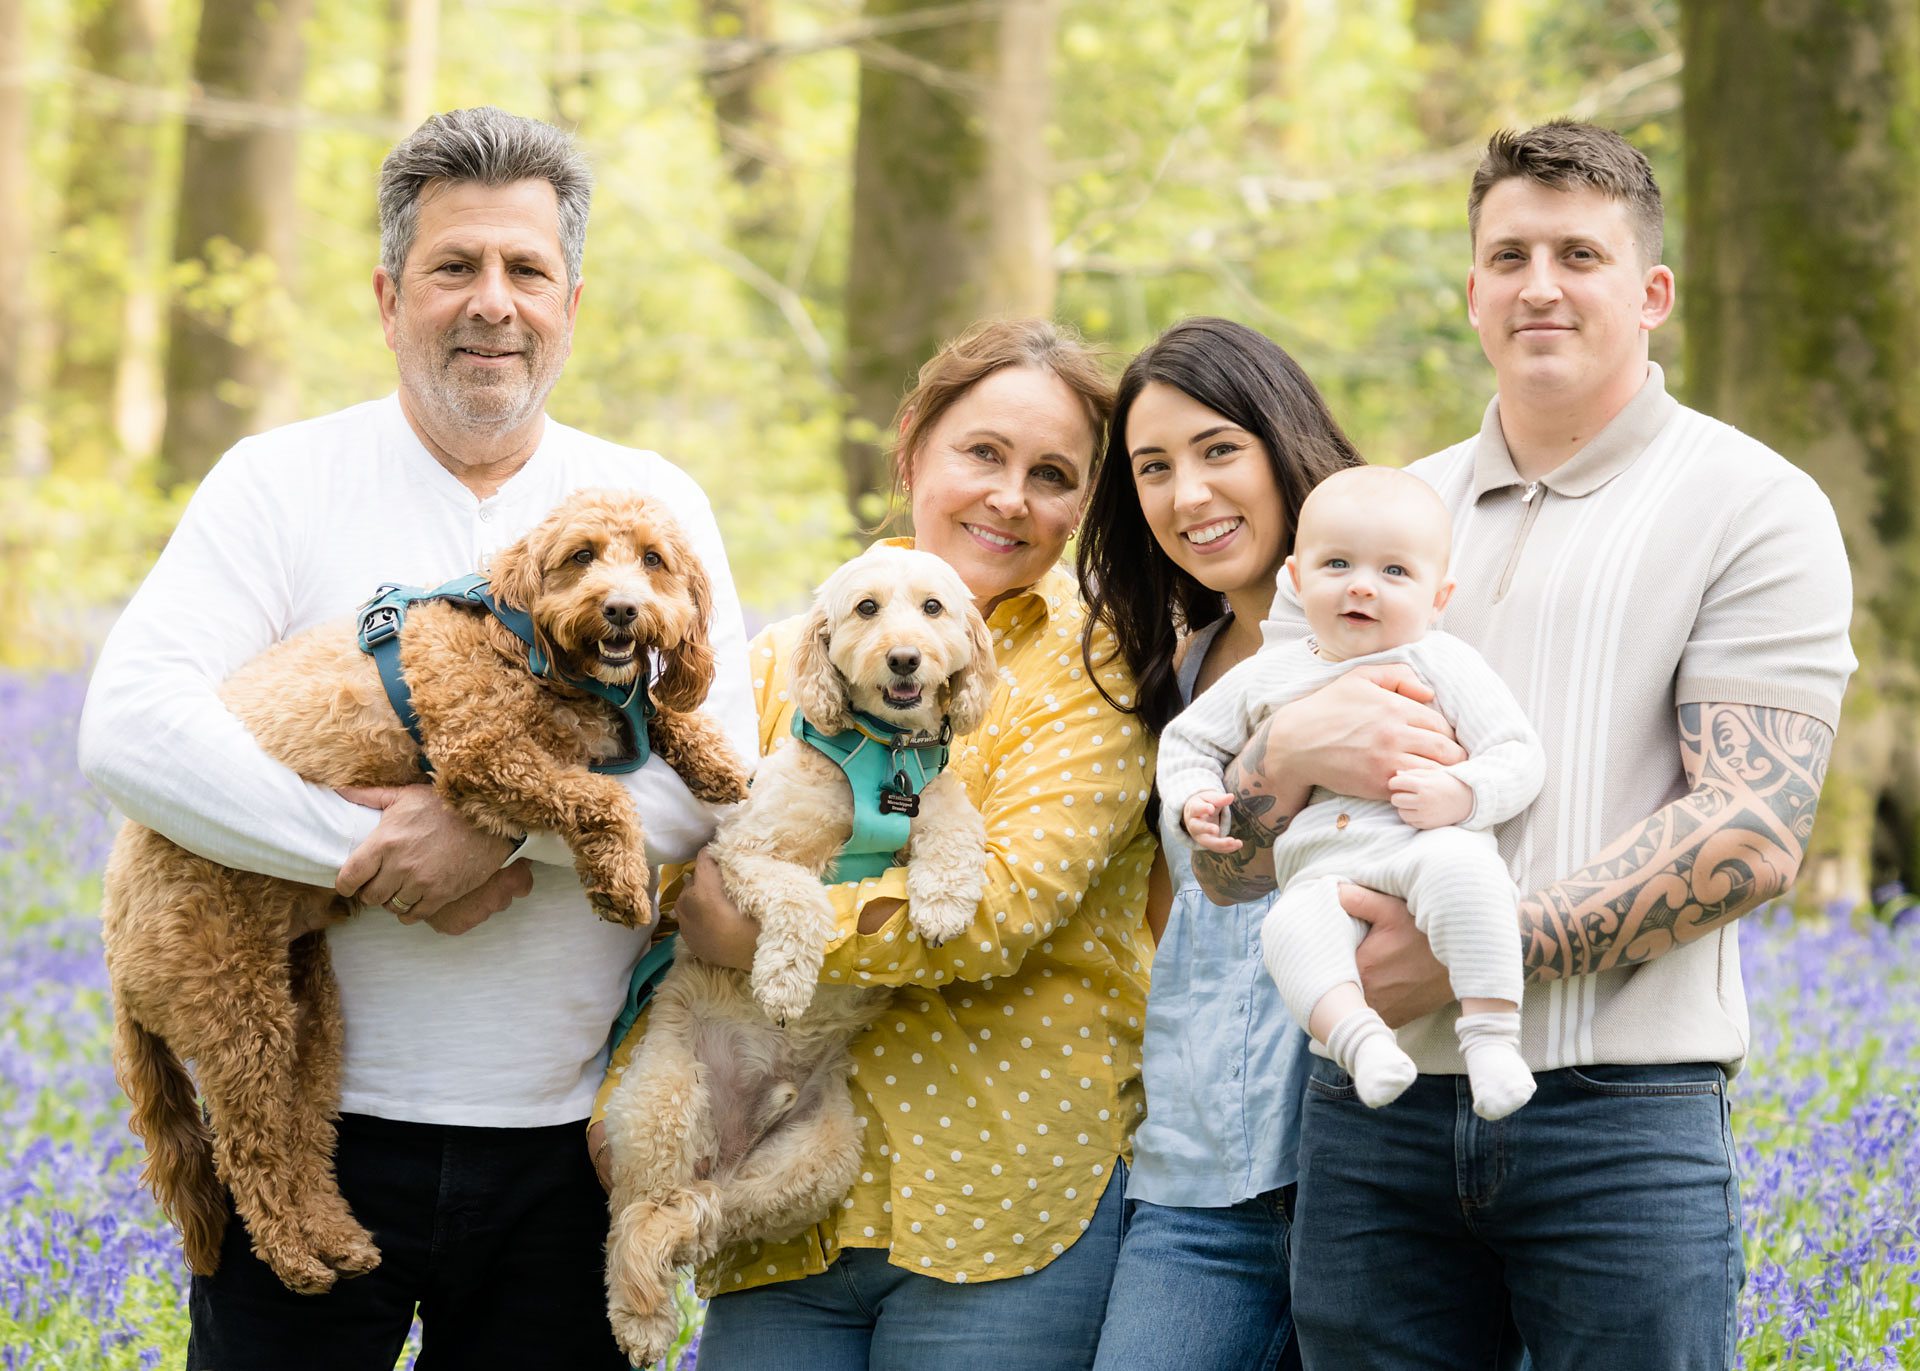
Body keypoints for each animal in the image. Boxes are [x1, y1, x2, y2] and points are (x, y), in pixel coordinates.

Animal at [101, 487, 748, 1290]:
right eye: (582, 556)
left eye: (653, 560)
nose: (623, 609)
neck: (528, 646)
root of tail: (114, 932)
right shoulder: (484, 750)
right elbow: (599, 795)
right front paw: (620, 878)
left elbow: (660, 711)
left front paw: (715, 758)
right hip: (233, 1009)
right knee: (250, 1151)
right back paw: (294, 1258)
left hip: (309, 1013)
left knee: (303, 1139)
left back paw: (336, 1240)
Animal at [599, 541, 990, 1359]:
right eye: (867, 608)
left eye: (933, 608)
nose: (904, 659)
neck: (884, 761)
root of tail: (731, 1143)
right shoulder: (744, 853)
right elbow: (803, 898)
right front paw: (783, 982)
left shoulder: (936, 798)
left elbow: (953, 824)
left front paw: (942, 899)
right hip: (665, 1103)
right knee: (635, 1220)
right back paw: (645, 1319)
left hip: (816, 1162)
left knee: (711, 1210)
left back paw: (692, 1228)